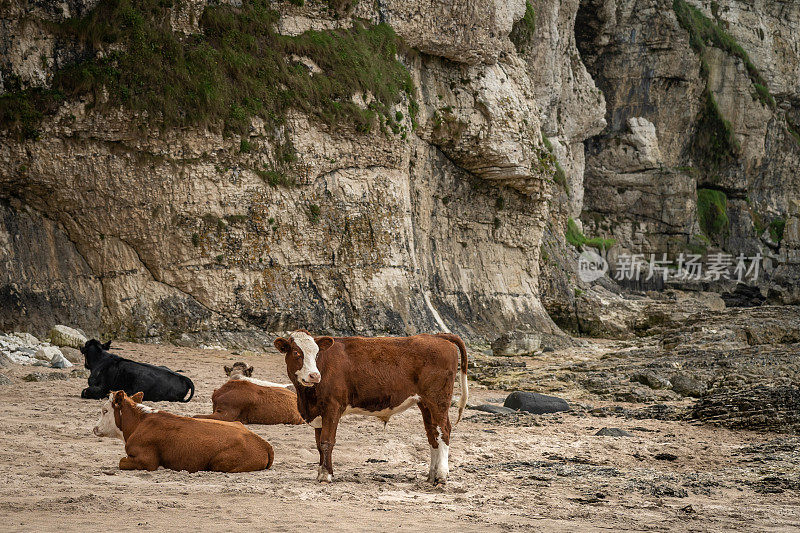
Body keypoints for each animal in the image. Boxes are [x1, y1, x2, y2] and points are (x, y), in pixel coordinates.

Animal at [93, 388, 276, 472]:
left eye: (105, 411)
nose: (95, 428)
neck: (140, 422)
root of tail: (263, 443)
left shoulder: (146, 460)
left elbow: (121, 461)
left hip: (220, 463)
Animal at [274, 328, 468, 482]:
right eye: (296, 353)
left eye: (316, 354)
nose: (314, 375)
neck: (307, 398)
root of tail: (437, 336)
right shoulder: (319, 412)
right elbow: (318, 445)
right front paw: (321, 472)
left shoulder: (332, 408)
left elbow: (327, 442)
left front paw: (326, 475)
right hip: (425, 404)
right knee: (433, 434)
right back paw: (431, 475)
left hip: (438, 400)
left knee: (444, 431)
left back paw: (441, 476)